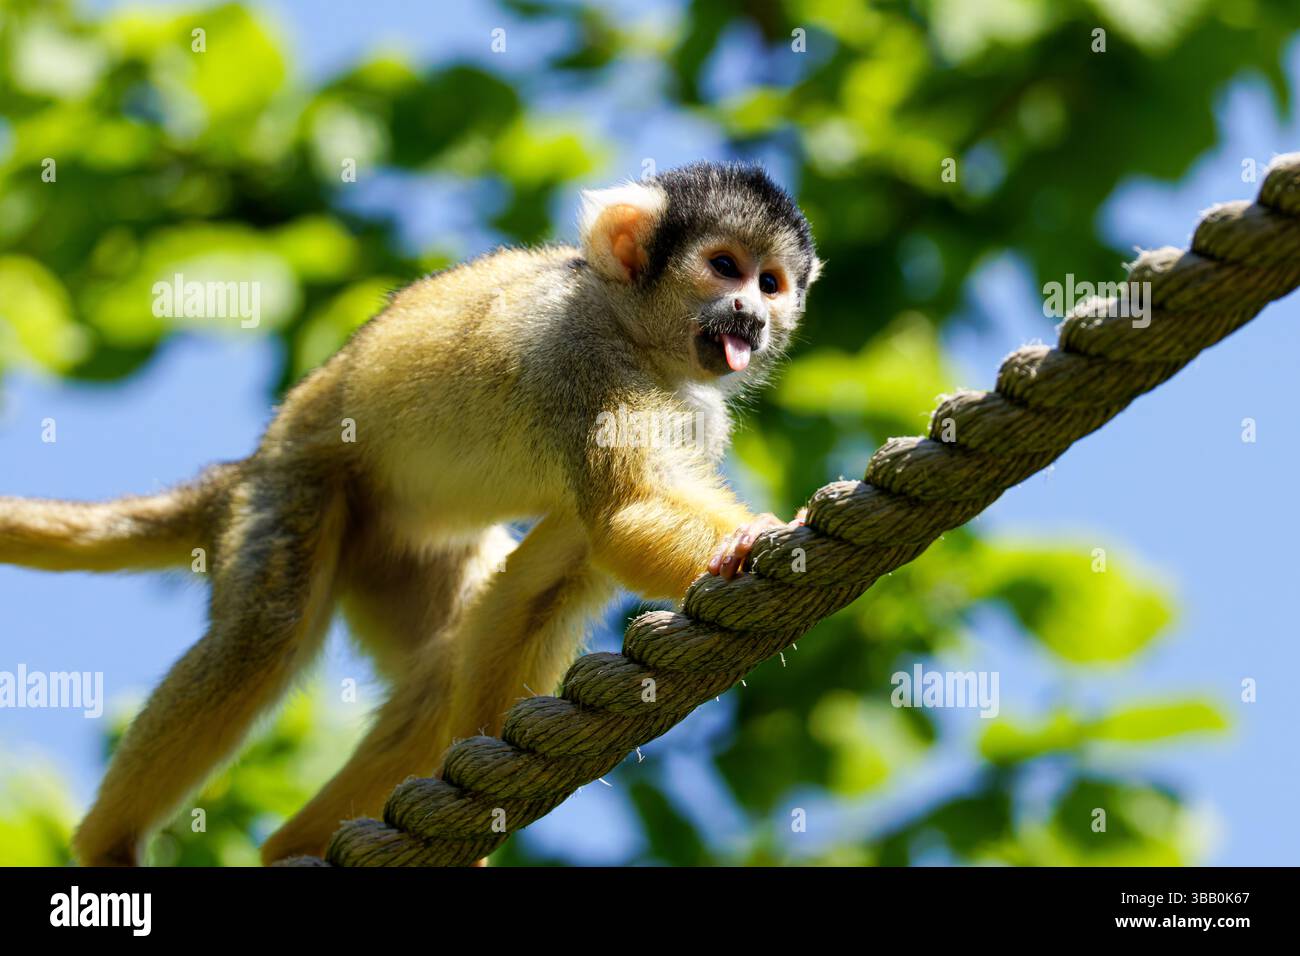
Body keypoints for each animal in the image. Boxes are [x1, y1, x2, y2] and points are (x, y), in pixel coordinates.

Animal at [0, 161, 821, 866]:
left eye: (771, 283)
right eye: (724, 266)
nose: (752, 313)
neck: (637, 335)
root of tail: (247, 465)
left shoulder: (695, 416)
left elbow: (559, 568)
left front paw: (488, 782)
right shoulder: (578, 357)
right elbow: (625, 510)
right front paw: (752, 536)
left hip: (392, 546)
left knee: (440, 658)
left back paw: (291, 845)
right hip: (300, 484)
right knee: (260, 636)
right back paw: (109, 845)